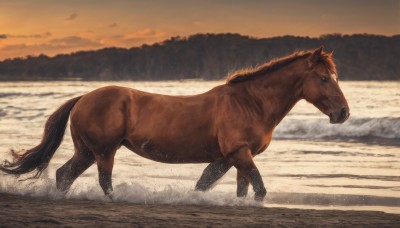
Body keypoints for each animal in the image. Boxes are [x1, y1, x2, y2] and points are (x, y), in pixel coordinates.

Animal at [0, 47, 348, 200]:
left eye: (334, 76)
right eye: (322, 78)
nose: (343, 113)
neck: (250, 103)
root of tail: (84, 97)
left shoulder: (230, 158)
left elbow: (224, 187)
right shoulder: (238, 154)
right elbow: (259, 189)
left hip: (86, 151)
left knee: (64, 174)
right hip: (104, 151)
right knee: (103, 180)